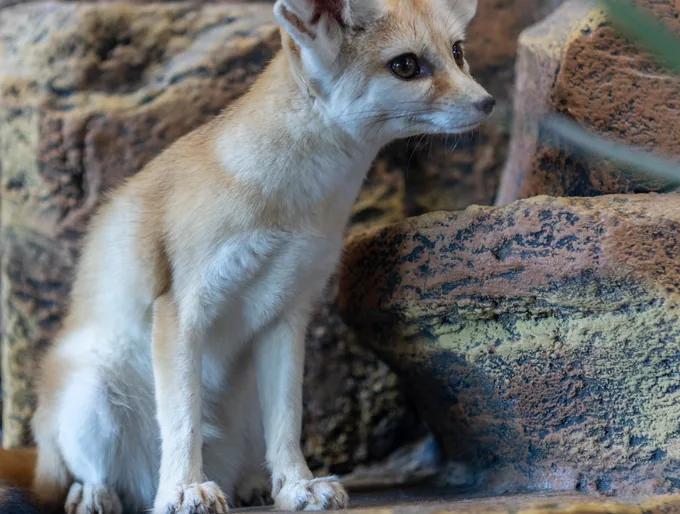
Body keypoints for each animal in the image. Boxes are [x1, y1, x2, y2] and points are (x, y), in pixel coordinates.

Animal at [8, 0, 494, 513]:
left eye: (457, 52)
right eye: (406, 65)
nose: (488, 102)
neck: (292, 204)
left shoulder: (287, 314)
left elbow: (287, 423)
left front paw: (297, 485)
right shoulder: (182, 308)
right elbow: (181, 420)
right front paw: (182, 489)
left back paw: (250, 485)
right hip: (94, 391)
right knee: (94, 476)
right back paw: (99, 495)